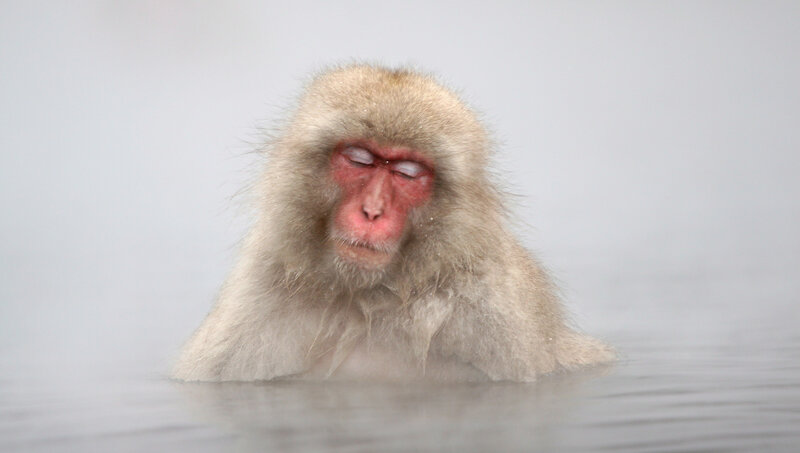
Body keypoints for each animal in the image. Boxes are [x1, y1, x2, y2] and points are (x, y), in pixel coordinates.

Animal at [172, 64, 614, 382]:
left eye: (406, 172)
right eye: (360, 159)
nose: (372, 211)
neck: (365, 300)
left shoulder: (497, 316)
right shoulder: (256, 298)